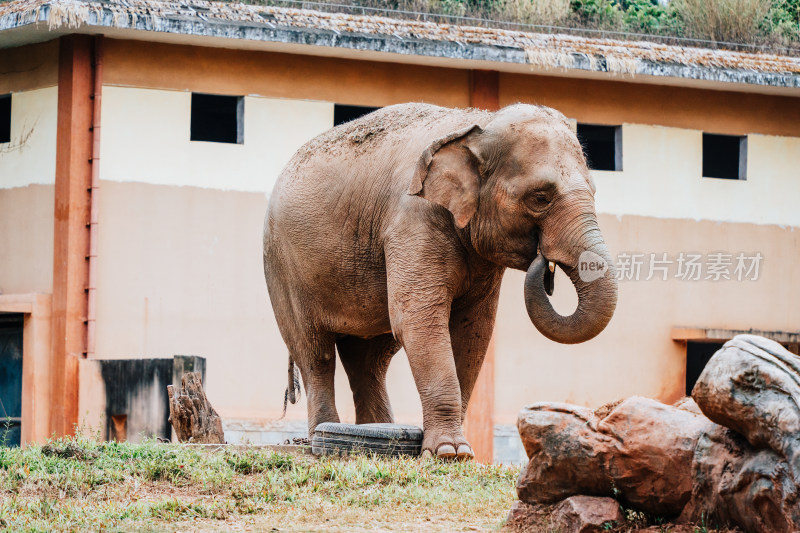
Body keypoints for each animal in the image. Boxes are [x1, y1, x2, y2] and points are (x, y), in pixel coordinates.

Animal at [264, 103, 620, 458]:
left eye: (593, 191)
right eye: (540, 198)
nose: (544, 262)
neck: (478, 126)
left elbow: (473, 330)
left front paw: (457, 453)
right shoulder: (413, 220)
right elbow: (419, 320)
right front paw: (449, 452)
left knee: (370, 360)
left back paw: (376, 433)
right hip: (283, 267)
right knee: (315, 352)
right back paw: (319, 439)